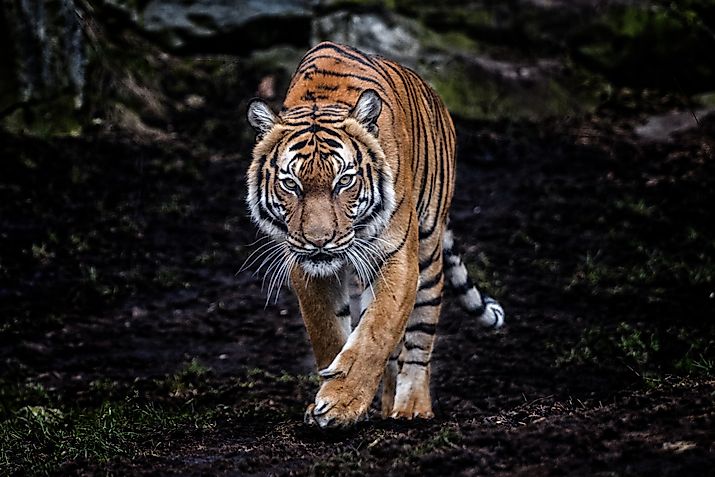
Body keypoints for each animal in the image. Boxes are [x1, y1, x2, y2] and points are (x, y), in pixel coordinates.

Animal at [245, 41, 504, 428]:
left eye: (344, 181)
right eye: (291, 184)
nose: (319, 241)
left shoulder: (396, 258)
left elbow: (376, 332)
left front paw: (340, 404)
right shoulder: (306, 266)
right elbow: (329, 332)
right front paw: (335, 399)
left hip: (428, 251)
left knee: (419, 336)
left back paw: (411, 408)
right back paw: (383, 405)